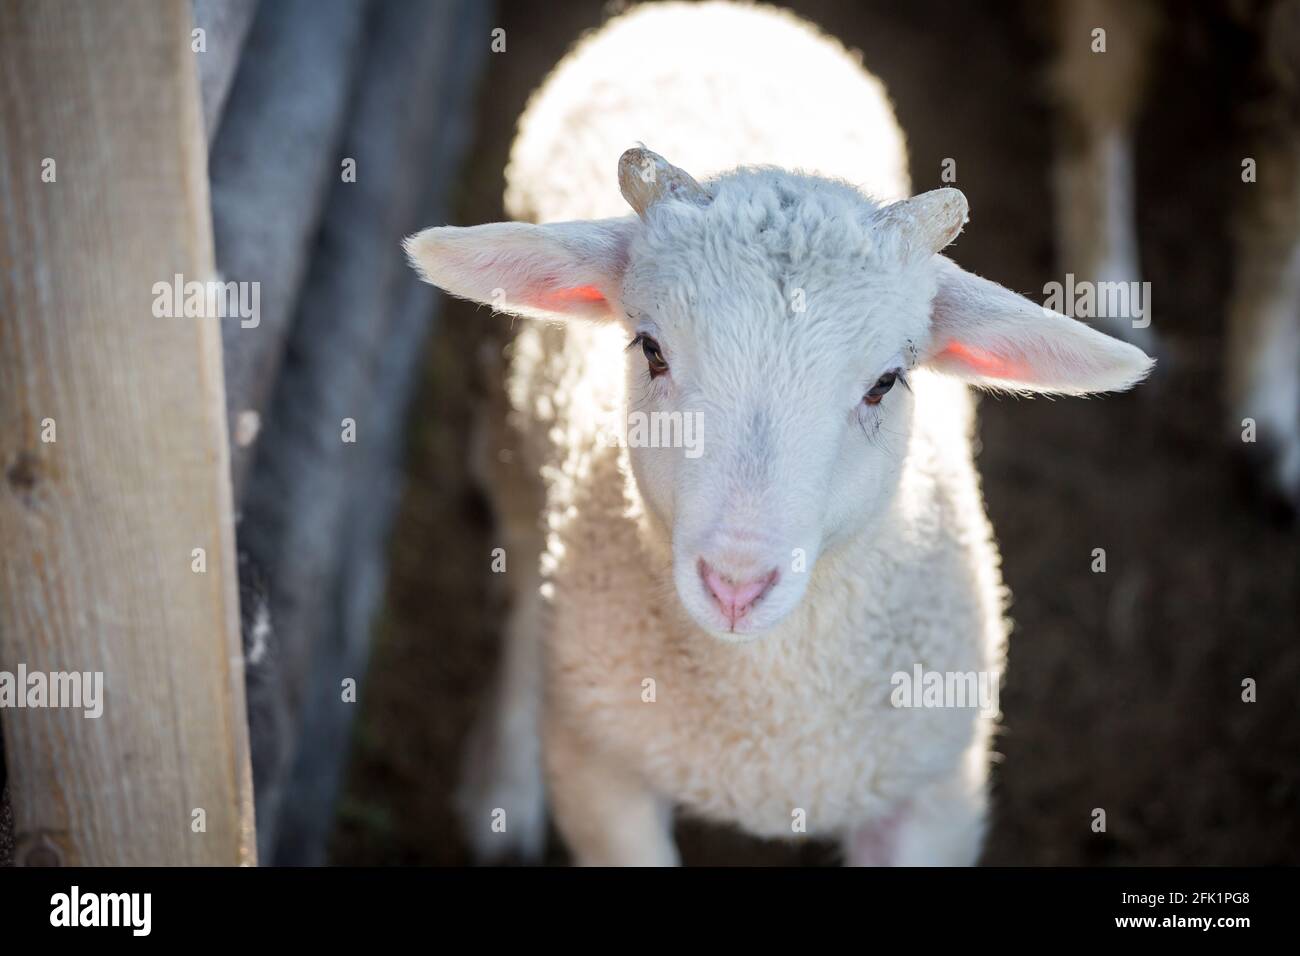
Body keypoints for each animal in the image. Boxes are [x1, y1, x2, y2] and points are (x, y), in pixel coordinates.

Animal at [403, 1, 1149, 868]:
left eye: (884, 382)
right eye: (651, 349)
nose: (736, 583)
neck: (764, 735)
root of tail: (722, 13)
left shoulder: (935, 797)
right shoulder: (603, 777)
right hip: (517, 431)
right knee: (526, 580)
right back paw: (505, 781)